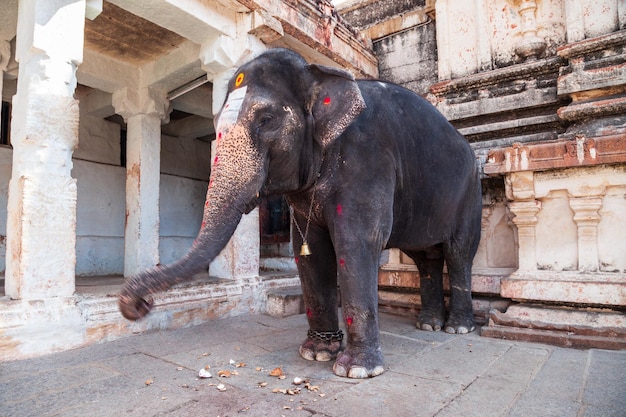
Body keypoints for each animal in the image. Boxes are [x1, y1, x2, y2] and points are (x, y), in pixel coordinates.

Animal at [117, 47, 480, 378]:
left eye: (266, 121)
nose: (141, 305)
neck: (318, 74)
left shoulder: (368, 161)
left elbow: (357, 243)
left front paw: (356, 370)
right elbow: (310, 252)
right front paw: (317, 354)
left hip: (470, 192)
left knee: (459, 253)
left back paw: (457, 329)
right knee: (426, 258)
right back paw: (429, 325)